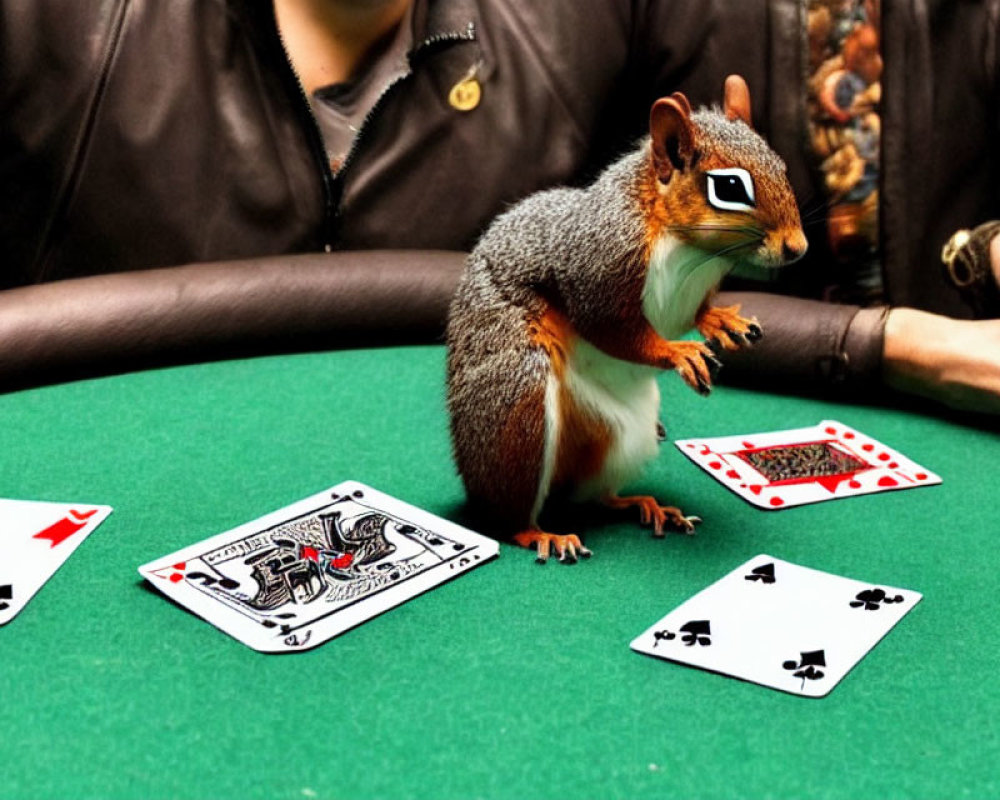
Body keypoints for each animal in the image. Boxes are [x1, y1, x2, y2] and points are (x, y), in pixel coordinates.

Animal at [446, 73, 804, 564]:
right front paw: (678, 353)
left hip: (625, 435)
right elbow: (614, 330)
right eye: (730, 188)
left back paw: (645, 505)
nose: (798, 248)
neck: (690, 247)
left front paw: (720, 322)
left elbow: (694, 313)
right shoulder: (600, 264)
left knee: (593, 496)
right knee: (512, 512)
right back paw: (539, 533)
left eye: (782, 167)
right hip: (521, 405)